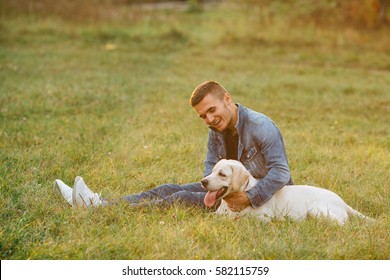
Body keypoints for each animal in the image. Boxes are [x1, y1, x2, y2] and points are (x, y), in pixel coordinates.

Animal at [201, 160, 374, 225]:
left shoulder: (263, 218)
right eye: (212, 171)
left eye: (222, 174)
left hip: (316, 211)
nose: (203, 182)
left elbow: (241, 219)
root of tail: (343, 202)